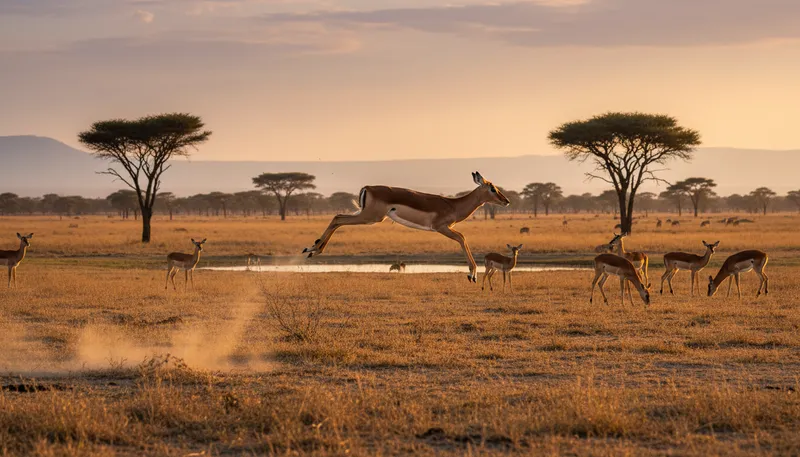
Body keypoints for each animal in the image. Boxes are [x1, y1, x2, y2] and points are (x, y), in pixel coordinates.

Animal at [303, 172, 511, 282]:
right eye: (492, 188)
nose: (506, 201)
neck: (453, 205)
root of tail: (367, 187)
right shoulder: (441, 228)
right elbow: (463, 238)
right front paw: (471, 274)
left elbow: (463, 238)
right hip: (370, 217)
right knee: (338, 219)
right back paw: (313, 249)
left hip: (366, 216)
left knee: (336, 217)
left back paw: (312, 249)